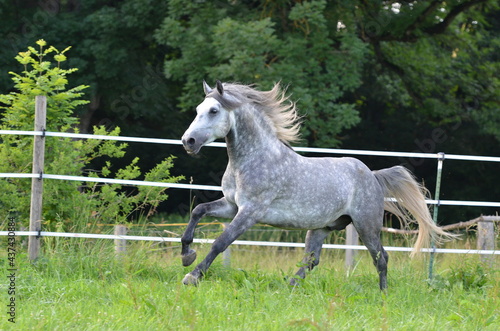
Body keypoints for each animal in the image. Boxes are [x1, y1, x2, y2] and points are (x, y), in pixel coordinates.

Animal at [181, 81, 454, 290]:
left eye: (214, 110)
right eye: (197, 109)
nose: (188, 141)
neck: (254, 159)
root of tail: (373, 176)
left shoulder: (251, 212)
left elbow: (221, 241)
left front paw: (192, 276)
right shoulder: (231, 205)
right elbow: (198, 211)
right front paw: (186, 255)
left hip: (366, 225)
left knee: (381, 257)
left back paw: (383, 294)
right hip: (322, 227)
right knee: (311, 261)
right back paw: (288, 287)